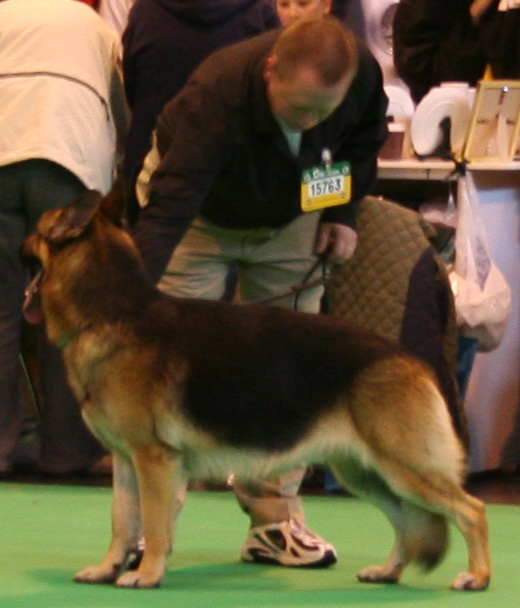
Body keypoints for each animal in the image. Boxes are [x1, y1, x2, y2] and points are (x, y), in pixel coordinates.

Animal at [21, 189, 492, 588]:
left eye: (35, 230)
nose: (16, 241)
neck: (110, 314)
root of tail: (411, 359)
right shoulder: (125, 461)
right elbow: (122, 523)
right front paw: (108, 568)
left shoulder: (154, 462)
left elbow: (153, 524)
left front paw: (148, 573)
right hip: (370, 473)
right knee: (407, 522)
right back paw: (389, 571)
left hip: (406, 468)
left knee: (471, 509)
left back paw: (478, 577)